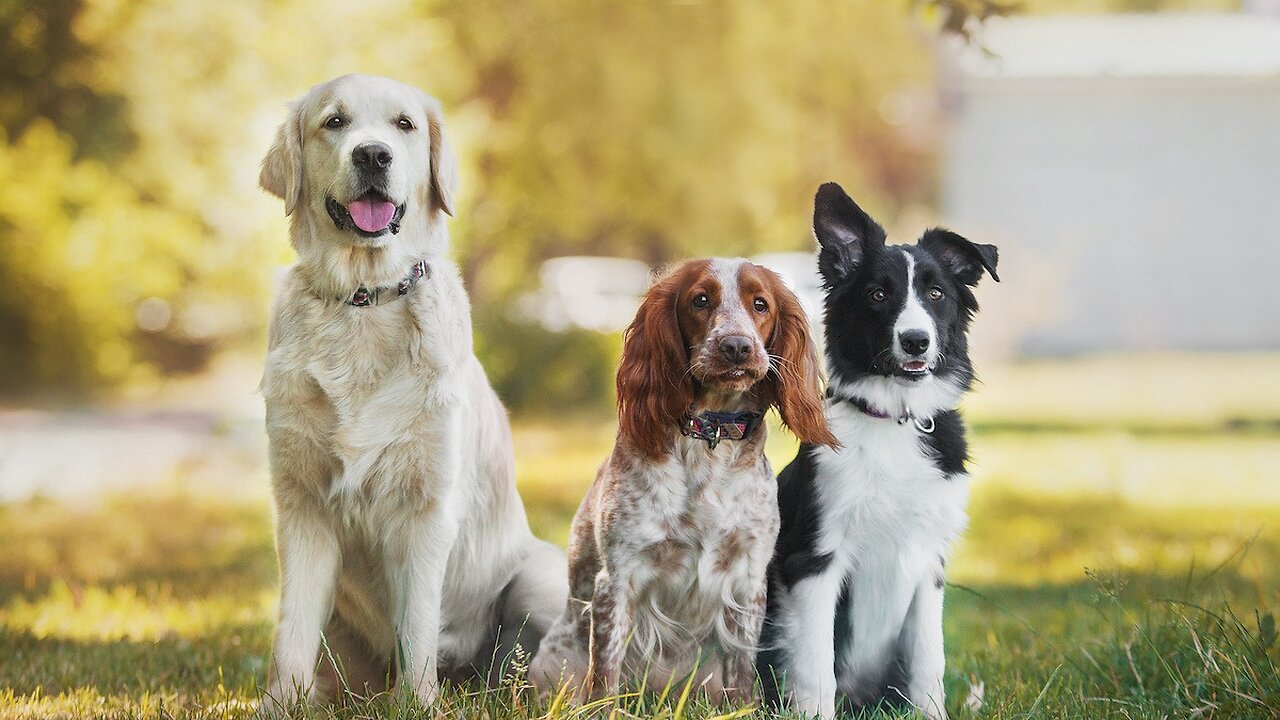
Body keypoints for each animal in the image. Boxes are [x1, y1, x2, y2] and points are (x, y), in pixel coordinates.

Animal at [257, 74, 563, 707]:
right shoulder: (301, 506)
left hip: (541, 576)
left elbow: (417, 623)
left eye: (404, 125)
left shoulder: (425, 507)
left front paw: (417, 704)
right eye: (334, 122)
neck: (364, 301)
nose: (373, 155)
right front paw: (279, 706)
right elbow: (291, 630)